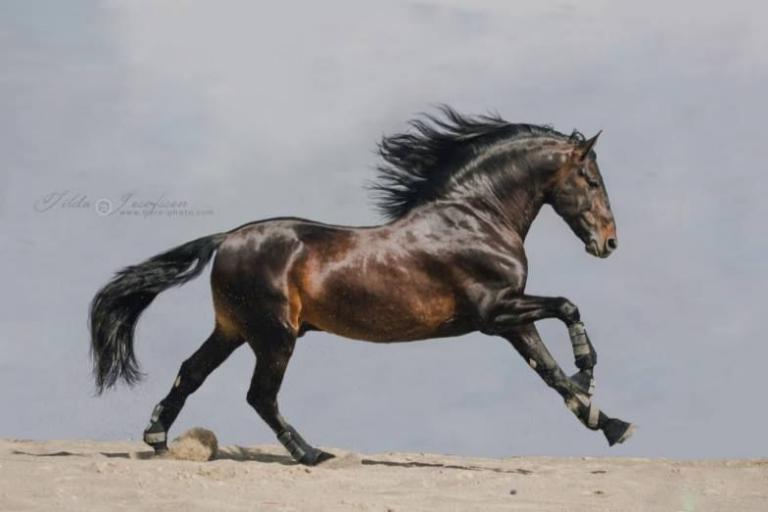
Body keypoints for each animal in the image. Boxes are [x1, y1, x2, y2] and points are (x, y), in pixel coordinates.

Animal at [90, 106, 634, 465]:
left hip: (233, 329)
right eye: (590, 179)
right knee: (260, 395)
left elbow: (548, 371)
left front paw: (608, 423)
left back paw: (157, 437)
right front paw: (588, 374)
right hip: (274, 335)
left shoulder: (510, 320)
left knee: (192, 372)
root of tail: (227, 239)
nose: (609, 243)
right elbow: (567, 308)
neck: (476, 217)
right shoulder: (496, 312)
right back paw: (310, 453)